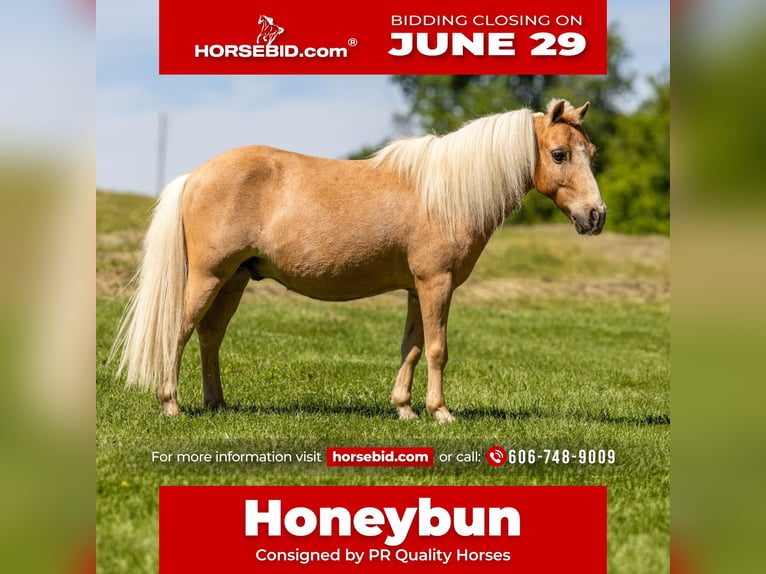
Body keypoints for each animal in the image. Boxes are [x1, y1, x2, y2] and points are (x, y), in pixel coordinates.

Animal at [112, 99, 606, 423]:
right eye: (559, 154)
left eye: (592, 154)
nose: (595, 216)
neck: (444, 194)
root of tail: (194, 176)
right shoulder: (436, 282)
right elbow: (438, 349)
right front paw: (441, 412)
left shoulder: (416, 288)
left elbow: (411, 347)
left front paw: (405, 410)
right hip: (208, 276)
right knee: (179, 330)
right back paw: (171, 404)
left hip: (234, 279)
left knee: (210, 336)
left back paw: (216, 404)